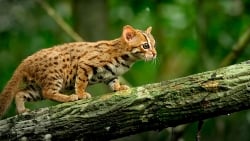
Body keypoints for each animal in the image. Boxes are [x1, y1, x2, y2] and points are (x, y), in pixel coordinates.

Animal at [0, 25, 156, 117]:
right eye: (145, 46)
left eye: (154, 44)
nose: (155, 54)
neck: (127, 59)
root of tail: (26, 61)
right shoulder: (85, 64)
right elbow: (81, 81)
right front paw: (81, 94)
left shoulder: (110, 75)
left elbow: (113, 81)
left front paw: (118, 87)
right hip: (55, 75)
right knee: (48, 92)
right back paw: (69, 98)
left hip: (36, 88)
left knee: (20, 93)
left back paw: (22, 110)